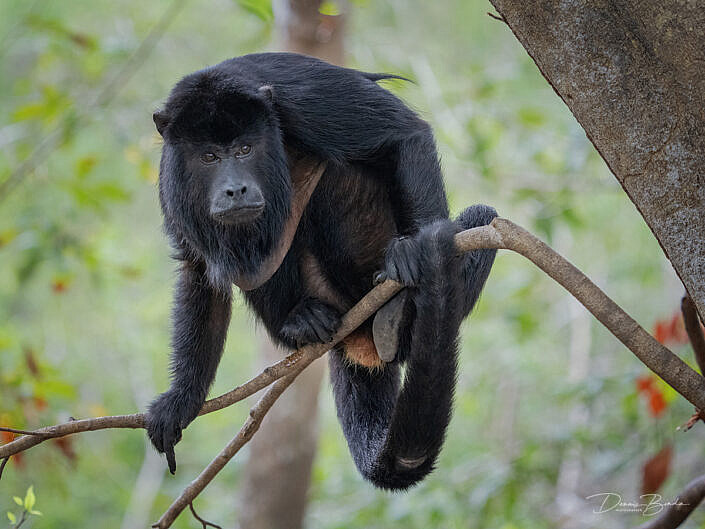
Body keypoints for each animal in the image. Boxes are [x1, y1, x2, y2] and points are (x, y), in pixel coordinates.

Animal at [146, 51, 498, 488]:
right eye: (209, 156)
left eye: (244, 149)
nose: (235, 189)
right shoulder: (171, 179)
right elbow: (198, 273)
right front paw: (181, 400)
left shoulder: (300, 96)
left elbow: (404, 134)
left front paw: (420, 253)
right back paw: (303, 322)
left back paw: (399, 314)